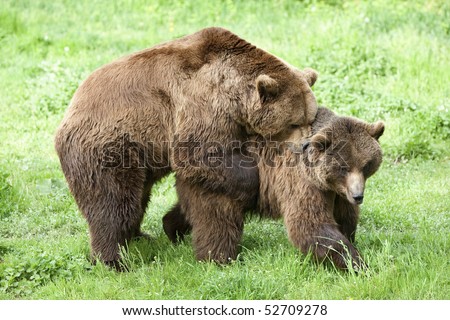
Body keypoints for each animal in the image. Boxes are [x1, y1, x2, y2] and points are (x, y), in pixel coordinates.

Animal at [53, 26, 320, 268]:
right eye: (294, 122)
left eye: (310, 118)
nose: (305, 144)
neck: (234, 97)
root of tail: (69, 110)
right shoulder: (202, 104)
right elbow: (197, 154)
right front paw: (251, 183)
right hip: (110, 146)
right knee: (113, 203)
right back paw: (113, 260)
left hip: (141, 154)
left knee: (138, 197)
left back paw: (139, 236)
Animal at [163, 107, 384, 270]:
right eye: (343, 167)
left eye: (366, 165)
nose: (358, 196)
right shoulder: (301, 181)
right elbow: (311, 225)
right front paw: (359, 264)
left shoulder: (336, 193)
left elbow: (345, 217)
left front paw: (351, 244)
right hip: (223, 181)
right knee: (218, 222)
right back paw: (218, 260)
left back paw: (172, 229)